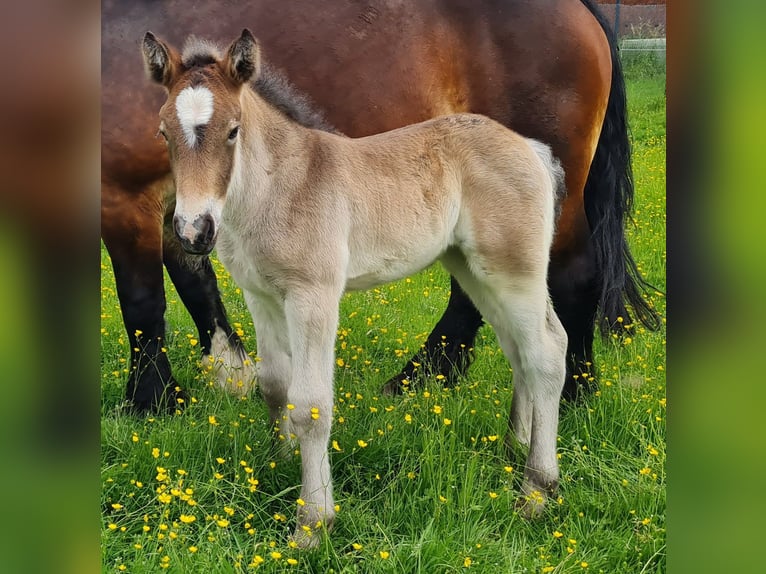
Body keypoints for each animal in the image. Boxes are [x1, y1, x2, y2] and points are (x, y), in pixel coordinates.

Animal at [100, 0, 660, 414]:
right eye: (163, 132)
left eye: (234, 131)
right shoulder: (181, 206)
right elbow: (193, 280)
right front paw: (227, 371)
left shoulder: (123, 197)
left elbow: (142, 300)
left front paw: (151, 401)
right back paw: (424, 378)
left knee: (574, 275)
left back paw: (570, 395)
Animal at [141, 28, 568, 548]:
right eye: (164, 133)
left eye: (233, 130)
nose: (193, 231)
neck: (280, 187)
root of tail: (530, 147)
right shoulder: (261, 297)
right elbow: (274, 385)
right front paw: (282, 463)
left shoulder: (314, 297)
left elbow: (311, 405)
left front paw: (313, 522)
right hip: (473, 270)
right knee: (521, 350)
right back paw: (515, 448)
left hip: (513, 270)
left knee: (547, 352)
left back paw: (536, 492)